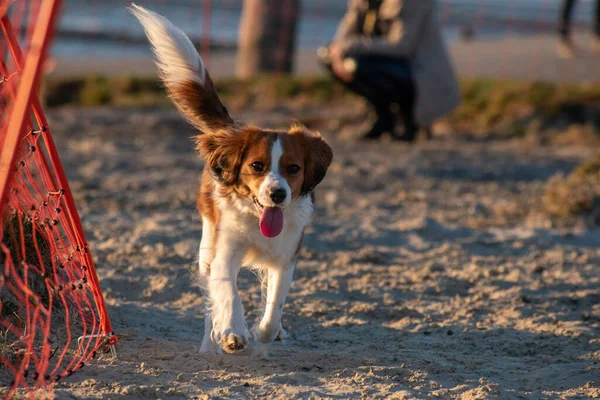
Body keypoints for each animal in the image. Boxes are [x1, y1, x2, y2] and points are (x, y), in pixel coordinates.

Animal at [131, 3, 332, 354]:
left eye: (293, 168)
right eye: (257, 165)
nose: (278, 194)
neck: (257, 220)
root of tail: (230, 129)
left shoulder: (287, 258)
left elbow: (274, 308)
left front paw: (265, 332)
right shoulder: (224, 253)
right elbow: (228, 293)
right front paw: (234, 332)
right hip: (206, 243)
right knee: (210, 295)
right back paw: (210, 344)